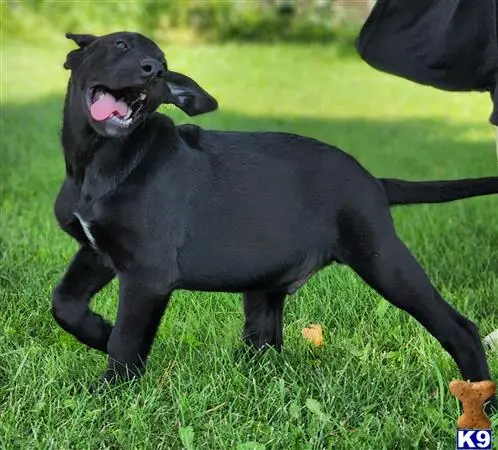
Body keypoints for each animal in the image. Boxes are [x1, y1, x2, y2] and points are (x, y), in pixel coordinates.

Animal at [53, 31, 498, 392]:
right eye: (119, 45)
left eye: (163, 63)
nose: (154, 71)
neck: (99, 161)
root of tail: (372, 180)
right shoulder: (97, 251)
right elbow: (64, 303)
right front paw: (99, 331)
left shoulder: (148, 273)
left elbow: (128, 338)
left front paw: (111, 388)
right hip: (266, 287)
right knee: (265, 343)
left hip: (382, 259)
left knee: (459, 328)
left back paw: (481, 399)